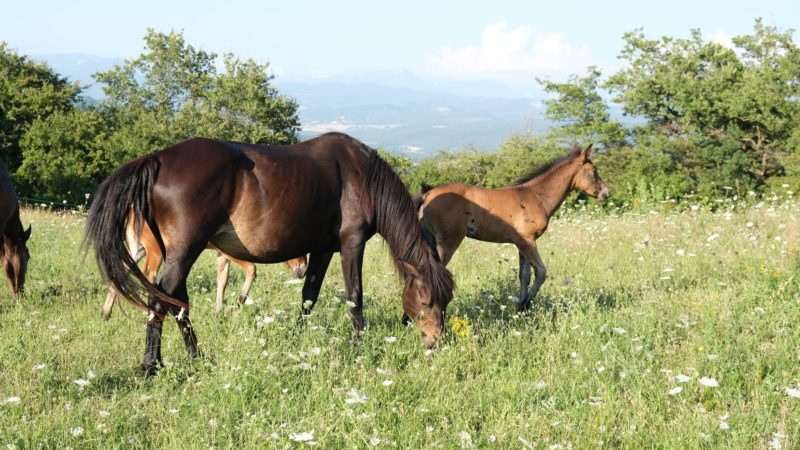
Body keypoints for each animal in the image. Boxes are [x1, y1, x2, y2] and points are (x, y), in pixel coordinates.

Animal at [101, 214, 308, 320]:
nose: (303, 270)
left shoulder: (221, 255)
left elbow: (222, 280)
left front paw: (219, 312)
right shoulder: (228, 252)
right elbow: (251, 269)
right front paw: (239, 302)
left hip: (138, 250)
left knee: (119, 274)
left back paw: (106, 313)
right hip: (155, 252)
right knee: (147, 277)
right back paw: (148, 312)